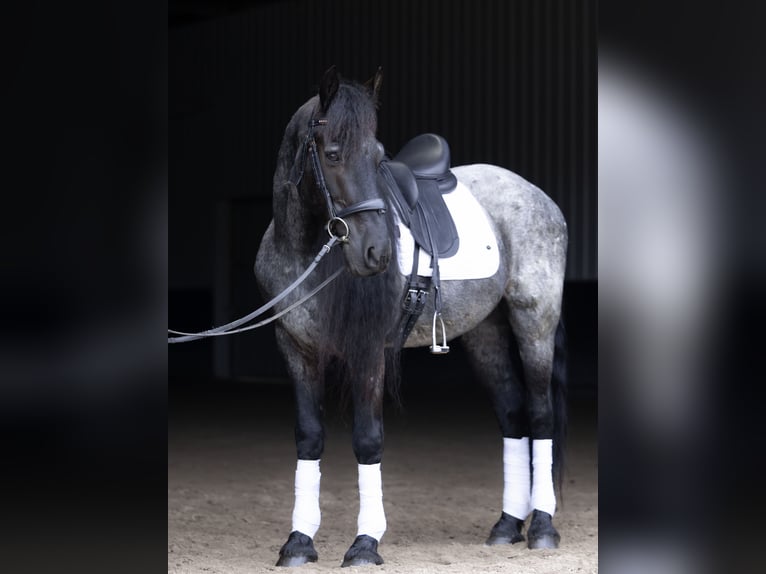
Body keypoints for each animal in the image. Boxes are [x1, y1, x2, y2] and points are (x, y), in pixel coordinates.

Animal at [254, 66, 568, 567]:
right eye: (334, 154)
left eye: (378, 156)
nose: (377, 253)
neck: (305, 252)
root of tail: (538, 197)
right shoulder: (295, 349)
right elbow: (309, 436)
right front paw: (299, 541)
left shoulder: (368, 352)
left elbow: (368, 439)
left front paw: (365, 544)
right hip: (486, 333)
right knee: (513, 413)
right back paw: (506, 525)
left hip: (534, 321)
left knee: (540, 415)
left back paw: (541, 527)